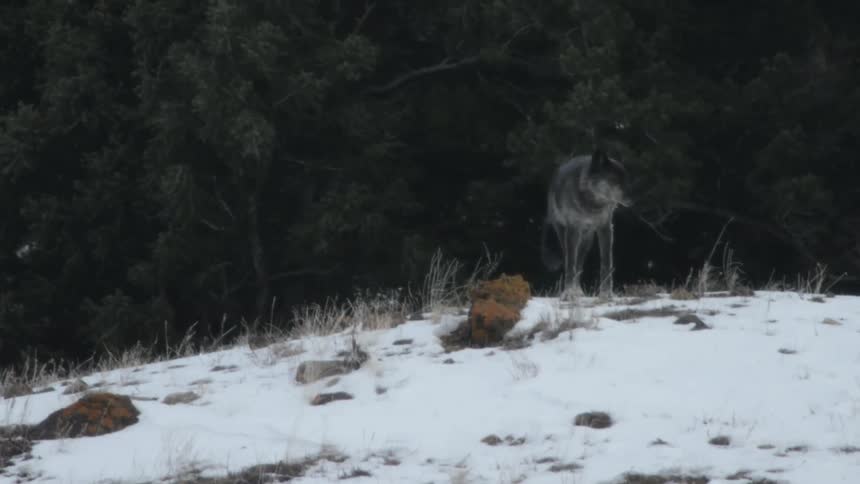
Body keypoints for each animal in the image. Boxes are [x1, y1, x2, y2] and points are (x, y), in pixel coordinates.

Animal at [541, 148, 631, 298]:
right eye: (614, 180)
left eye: (625, 180)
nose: (633, 199)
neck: (592, 205)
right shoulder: (572, 229)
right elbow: (570, 263)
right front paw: (568, 293)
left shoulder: (605, 228)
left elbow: (606, 262)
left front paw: (606, 293)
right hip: (563, 232)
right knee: (569, 259)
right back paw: (574, 290)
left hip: (587, 240)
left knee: (579, 263)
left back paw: (578, 290)